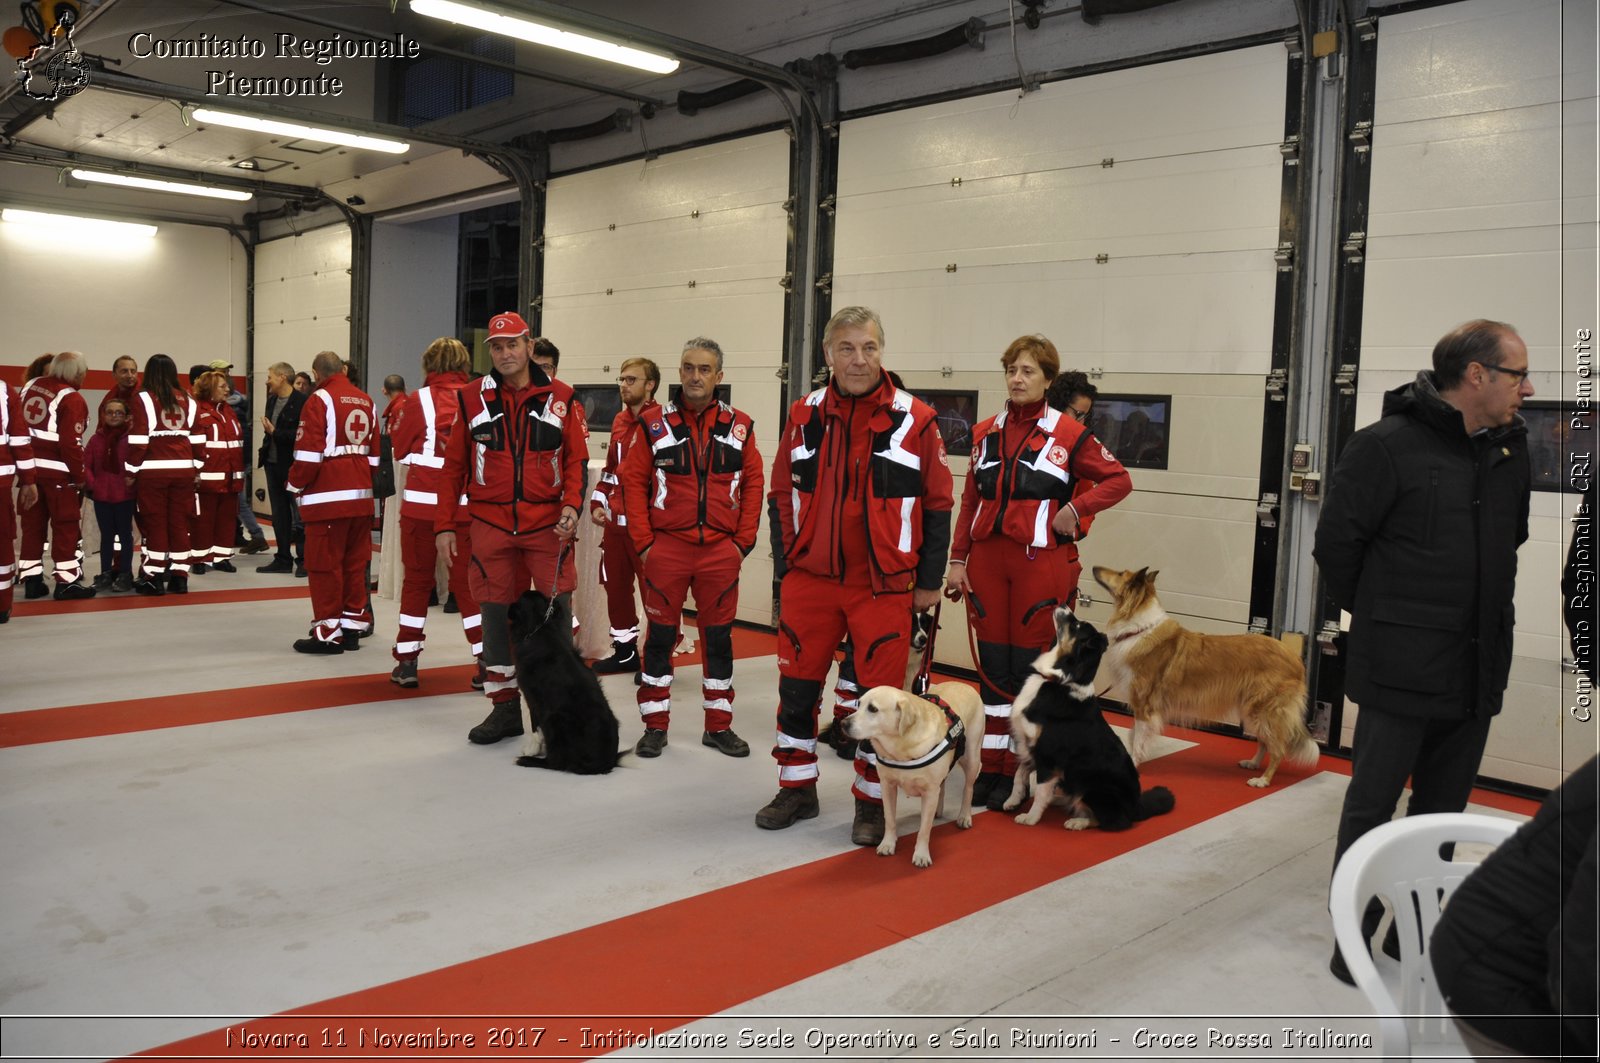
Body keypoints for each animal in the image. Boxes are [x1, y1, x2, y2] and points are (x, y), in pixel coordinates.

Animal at [508, 589, 620, 771]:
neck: (539, 627)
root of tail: (604, 763)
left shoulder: (532, 697)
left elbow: (535, 726)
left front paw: (532, 749)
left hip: (555, 719)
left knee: (556, 762)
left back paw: (528, 761)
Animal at [844, 685, 979, 870]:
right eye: (858, 704)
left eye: (873, 709)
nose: (843, 723)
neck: (900, 747)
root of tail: (966, 685)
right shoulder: (887, 786)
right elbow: (890, 819)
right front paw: (888, 844)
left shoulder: (930, 792)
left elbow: (924, 830)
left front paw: (921, 854)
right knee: (943, 786)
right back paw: (938, 810)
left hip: (971, 758)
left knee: (969, 788)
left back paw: (964, 816)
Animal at [1011, 605, 1177, 832]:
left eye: (1076, 625)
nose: (1063, 605)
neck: (1059, 681)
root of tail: (1137, 807)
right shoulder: (1031, 747)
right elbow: (1019, 773)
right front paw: (1012, 800)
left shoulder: (1048, 755)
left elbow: (1041, 791)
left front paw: (1031, 818)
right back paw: (1060, 800)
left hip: (1094, 786)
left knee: (1114, 821)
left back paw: (1077, 821)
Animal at [1094, 569, 1318, 784]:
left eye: (1120, 574)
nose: (1095, 568)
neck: (1140, 629)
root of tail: (1296, 659)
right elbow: (1133, 735)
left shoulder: (1144, 706)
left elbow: (1137, 738)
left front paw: (1133, 764)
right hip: (1251, 710)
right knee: (1265, 742)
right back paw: (1253, 764)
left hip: (1263, 710)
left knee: (1278, 749)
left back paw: (1262, 780)